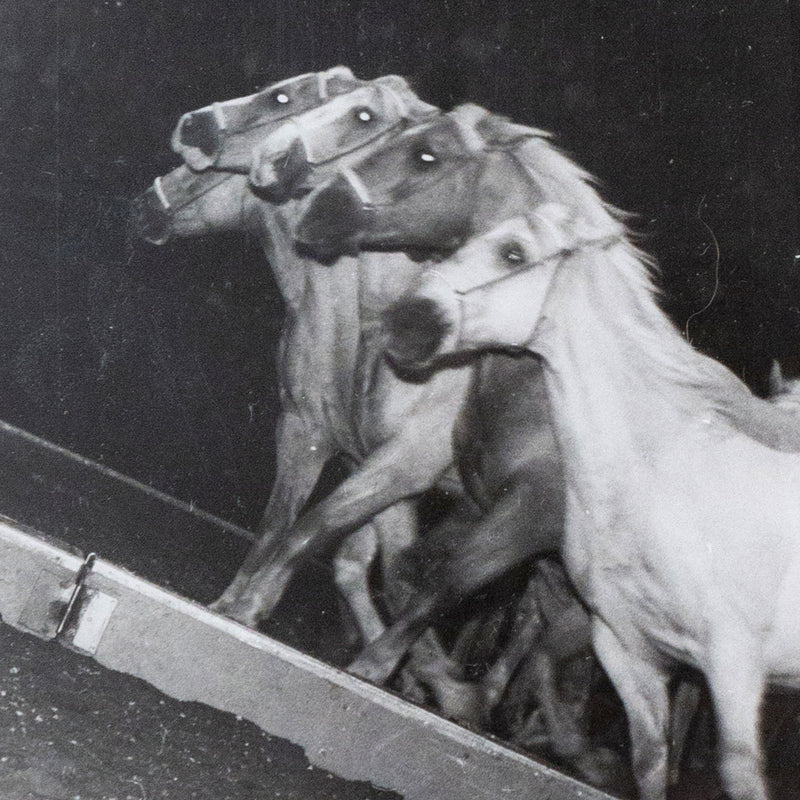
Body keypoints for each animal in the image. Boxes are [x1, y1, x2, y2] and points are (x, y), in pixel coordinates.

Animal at [376, 147, 800, 796]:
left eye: (514, 253)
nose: (404, 319)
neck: (660, 480)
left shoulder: (732, 663)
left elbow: (736, 769)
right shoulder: (628, 649)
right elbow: (644, 759)